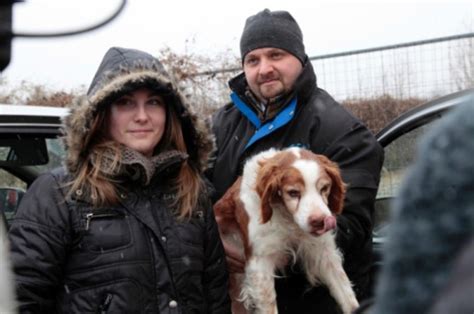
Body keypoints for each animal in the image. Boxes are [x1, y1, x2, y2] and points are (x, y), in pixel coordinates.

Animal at [215, 148, 360, 314]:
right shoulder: (259, 263)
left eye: (324, 188)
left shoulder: (323, 251)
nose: (320, 221)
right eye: (293, 192)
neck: (287, 218)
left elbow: (347, 295)